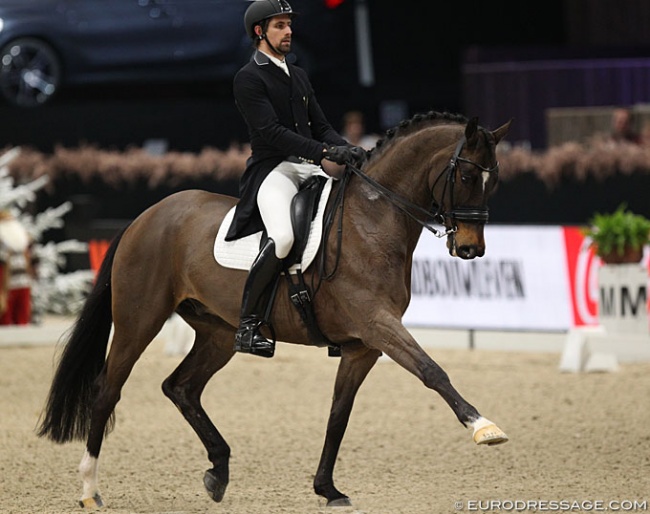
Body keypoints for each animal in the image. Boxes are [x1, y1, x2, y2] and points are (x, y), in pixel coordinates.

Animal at [36, 110, 512, 506]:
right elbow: (433, 371)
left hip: (218, 333)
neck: (371, 221)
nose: (471, 249)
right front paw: (483, 427)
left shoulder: (362, 346)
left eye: (495, 181)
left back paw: (218, 471)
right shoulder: (378, 325)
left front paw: (327, 489)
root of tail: (144, 218)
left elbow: (338, 415)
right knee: (107, 391)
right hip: (139, 321)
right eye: (466, 175)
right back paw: (90, 490)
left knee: (181, 387)